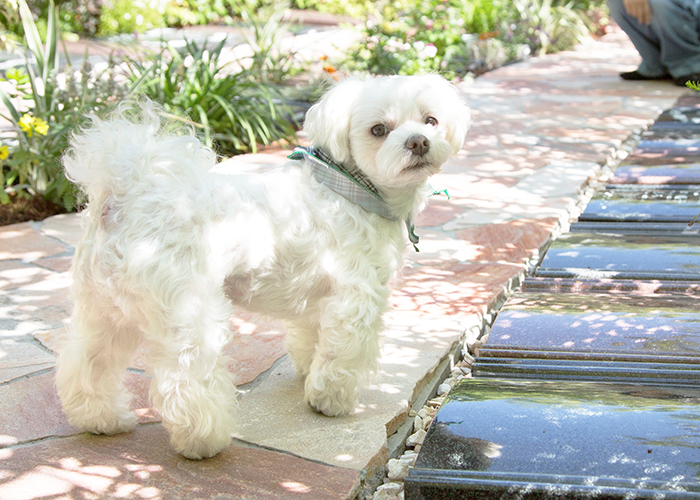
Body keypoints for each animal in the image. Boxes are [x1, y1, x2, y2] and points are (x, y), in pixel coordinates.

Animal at [56, 72, 470, 458]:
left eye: (430, 120)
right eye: (379, 130)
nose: (418, 141)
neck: (351, 188)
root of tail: (126, 194)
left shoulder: (318, 297)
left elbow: (311, 338)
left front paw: (307, 370)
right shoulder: (356, 298)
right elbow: (343, 355)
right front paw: (328, 400)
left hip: (104, 309)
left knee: (87, 363)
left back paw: (101, 418)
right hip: (188, 313)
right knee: (187, 378)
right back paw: (202, 440)